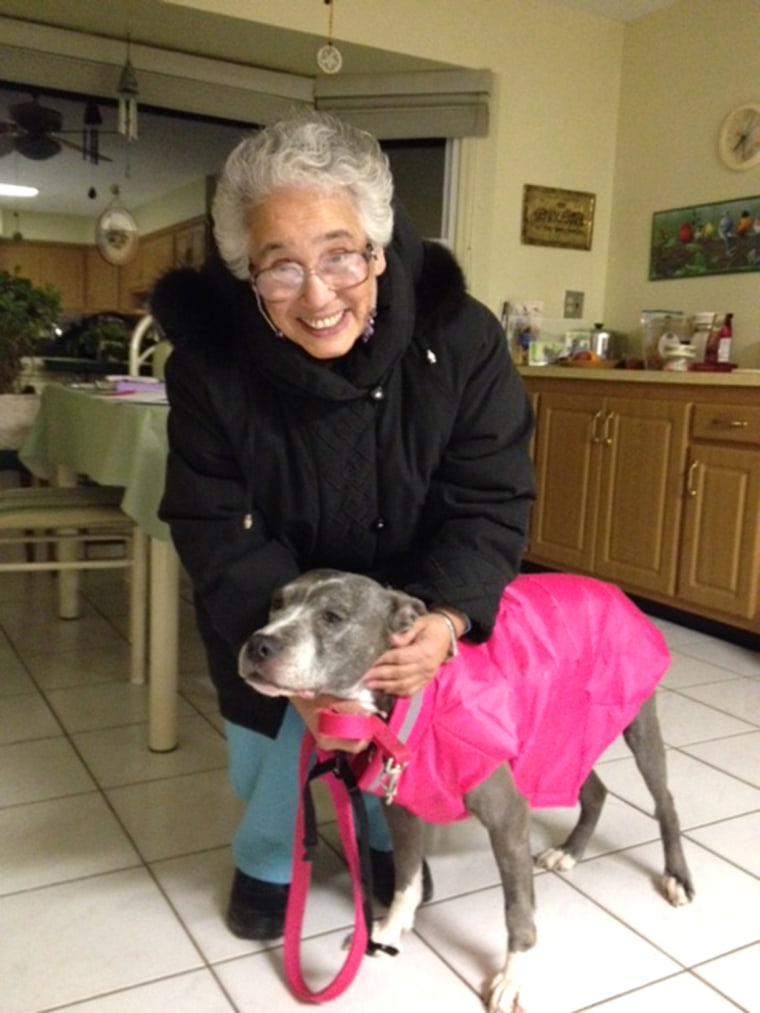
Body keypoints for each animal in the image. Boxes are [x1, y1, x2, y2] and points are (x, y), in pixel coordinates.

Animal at [239, 571, 697, 1013]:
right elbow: (406, 878)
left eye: (332, 617)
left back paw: (676, 876)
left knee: (666, 803)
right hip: (559, 734)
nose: (259, 643)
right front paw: (389, 930)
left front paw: (512, 977)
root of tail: (611, 589)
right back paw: (569, 851)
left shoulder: (507, 817)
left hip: (634, 722)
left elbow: (517, 910)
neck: (411, 705)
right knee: (595, 790)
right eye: (276, 603)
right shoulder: (401, 809)